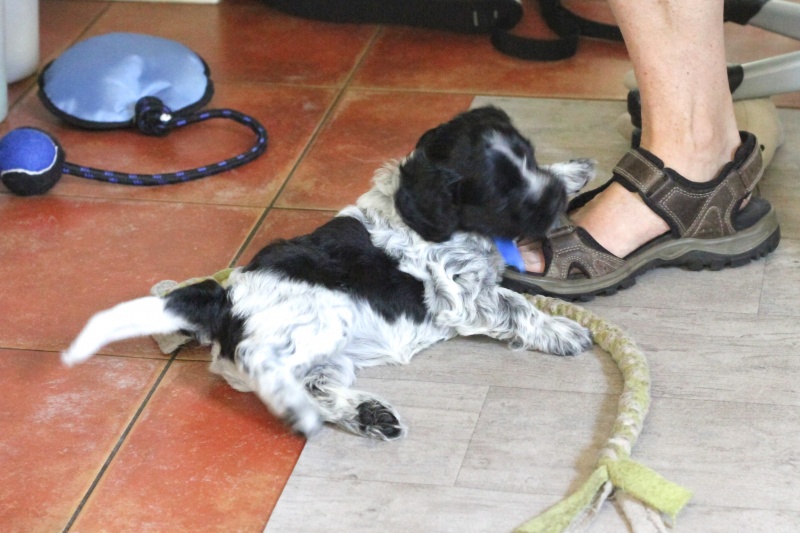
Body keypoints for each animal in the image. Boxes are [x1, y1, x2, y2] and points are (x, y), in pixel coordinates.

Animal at [62, 107, 595, 440]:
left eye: (529, 155)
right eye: (501, 193)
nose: (552, 202)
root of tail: (224, 299)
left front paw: (571, 172)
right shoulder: (462, 291)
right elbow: (516, 305)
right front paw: (561, 330)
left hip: (323, 355)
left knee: (315, 386)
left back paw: (368, 415)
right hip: (319, 321)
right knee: (265, 367)